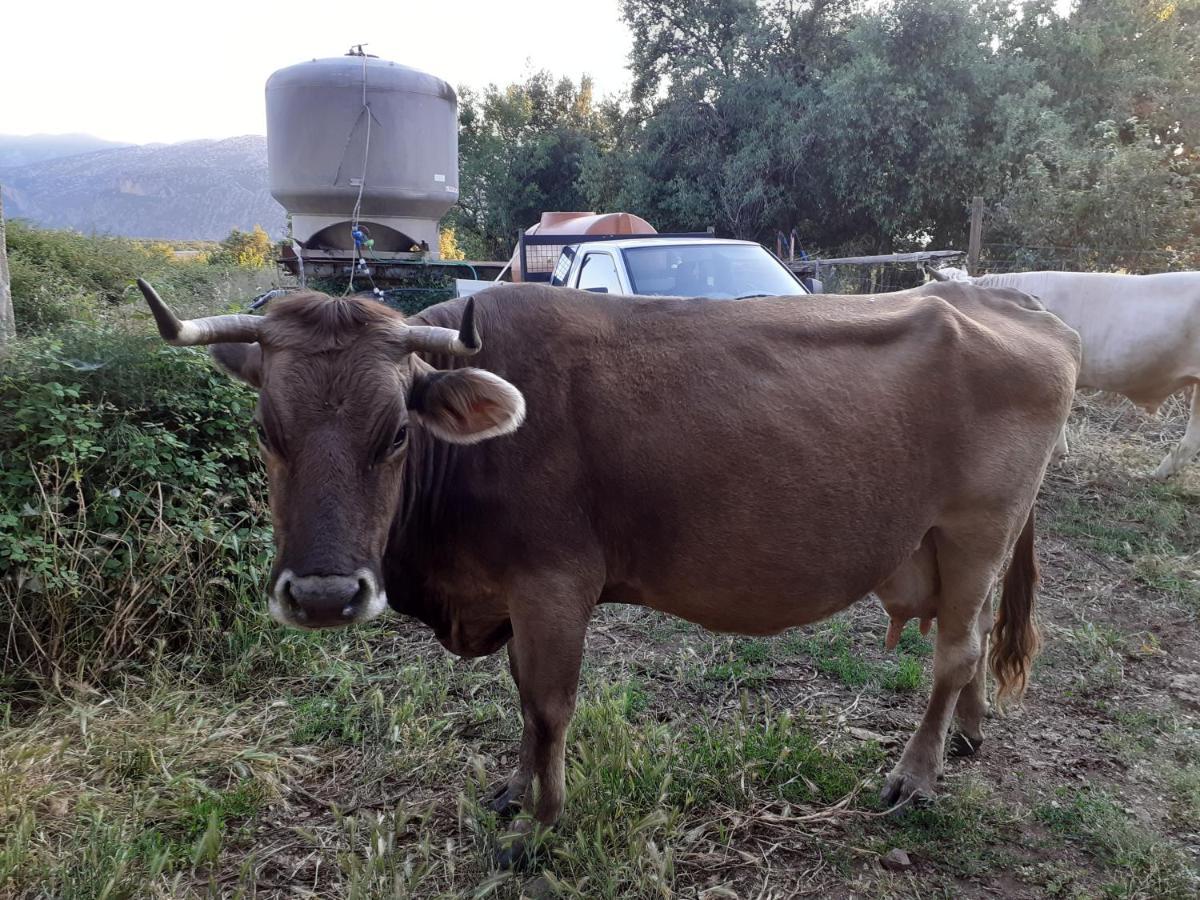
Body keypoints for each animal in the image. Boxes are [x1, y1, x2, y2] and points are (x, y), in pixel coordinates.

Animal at [138, 277, 1080, 868]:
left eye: (397, 433)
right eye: (267, 430)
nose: (326, 595)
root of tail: (1014, 300)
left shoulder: (554, 584)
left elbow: (548, 705)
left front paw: (542, 826)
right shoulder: (512, 593)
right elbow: (522, 701)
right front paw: (514, 792)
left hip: (974, 529)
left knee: (954, 652)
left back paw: (916, 776)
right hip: (958, 546)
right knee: (972, 638)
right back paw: (969, 734)